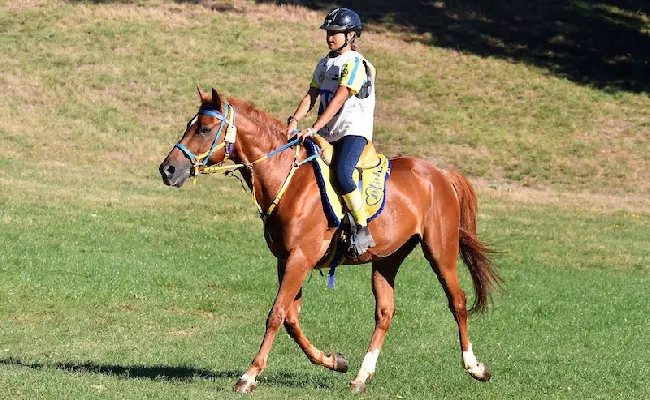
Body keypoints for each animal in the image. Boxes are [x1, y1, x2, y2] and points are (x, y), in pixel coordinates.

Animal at [159, 88, 501, 394]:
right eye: (190, 125)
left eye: (204, 129)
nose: (168, 169)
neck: (289, 179)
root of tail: (440, 173)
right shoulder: (287, 260)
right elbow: (291, 320)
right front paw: (334, 360)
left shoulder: (300, 258)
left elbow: (276, 315)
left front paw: (249, 376)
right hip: (387, 259)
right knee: (385, 312)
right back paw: (361, 377)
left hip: (440, 251)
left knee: (458, 302)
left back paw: (475, 367)